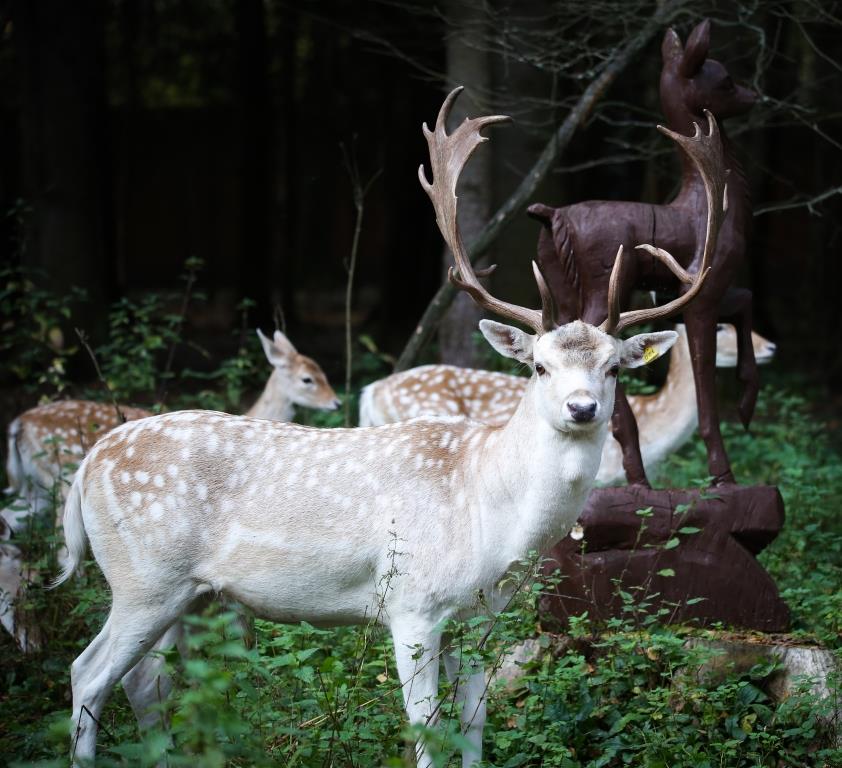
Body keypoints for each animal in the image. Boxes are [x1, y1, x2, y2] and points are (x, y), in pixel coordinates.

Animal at [3, 328, 338, 652]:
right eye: (307, 379)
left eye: (323, 371)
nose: (335, 403)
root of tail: (18, 424)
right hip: (59, 481)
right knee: (61, 548)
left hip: (34, 489)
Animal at [52, 88, 720, 768]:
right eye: (539, 366)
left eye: (613, 367)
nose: (582, 408)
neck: (489, 515)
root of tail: (86, 469)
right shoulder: (411, 605)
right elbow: (426, 728)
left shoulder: (483, 618)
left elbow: (474, 724)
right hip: (144, 578)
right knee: (89, 671)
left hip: (186, 595)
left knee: (145, 681)